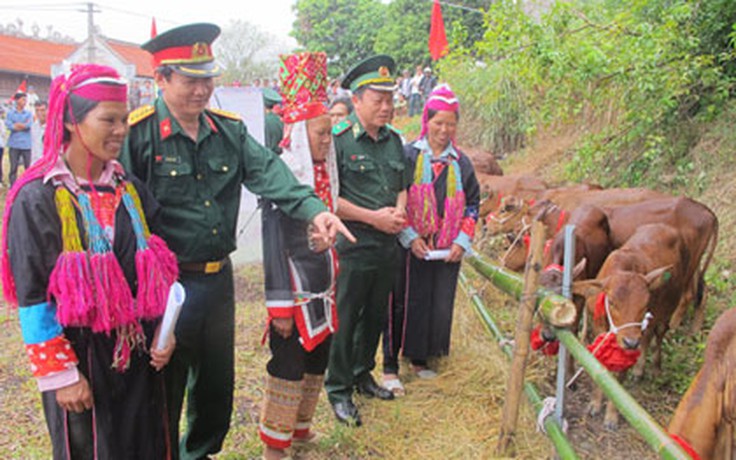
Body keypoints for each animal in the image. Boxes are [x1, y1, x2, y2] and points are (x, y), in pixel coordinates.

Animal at [576, 225, 688, 430]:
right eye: (612, 302)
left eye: (645, 304)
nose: (630, 342)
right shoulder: (600, 328)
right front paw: (595, 404)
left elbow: (620, 377)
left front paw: (611, 416)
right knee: (648, 337)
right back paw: (639, 369)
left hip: (667, 309)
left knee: (658, 334)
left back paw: (654, 368)